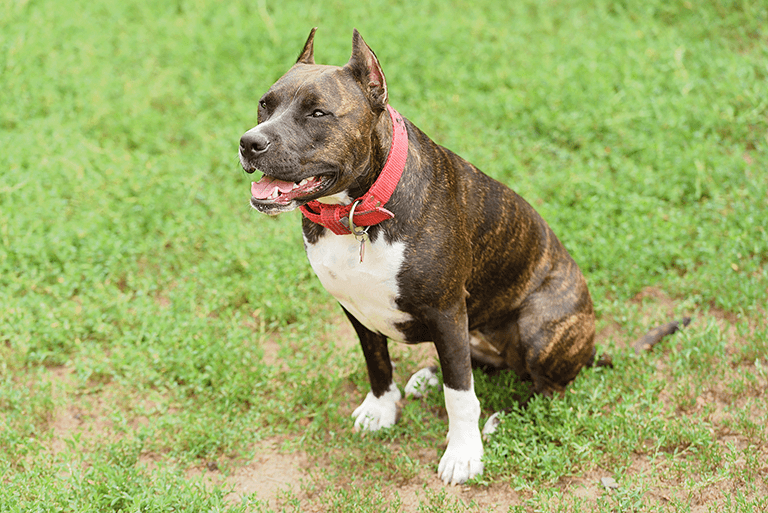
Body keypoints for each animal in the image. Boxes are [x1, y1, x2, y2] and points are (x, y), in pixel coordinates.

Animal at [238, 28, 672, 484]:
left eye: (318, 113)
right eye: (265, 104)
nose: (250, 141)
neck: (359, 212)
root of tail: (590, 350)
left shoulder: (445, 311)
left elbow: (460, 395)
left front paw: (464, 454)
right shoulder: (356, 309)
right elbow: (378, 362)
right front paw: (380, 409)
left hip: (539, 325)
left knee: (544, 388)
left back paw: (504, 416)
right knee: (477, 363)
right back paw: (430, 375)